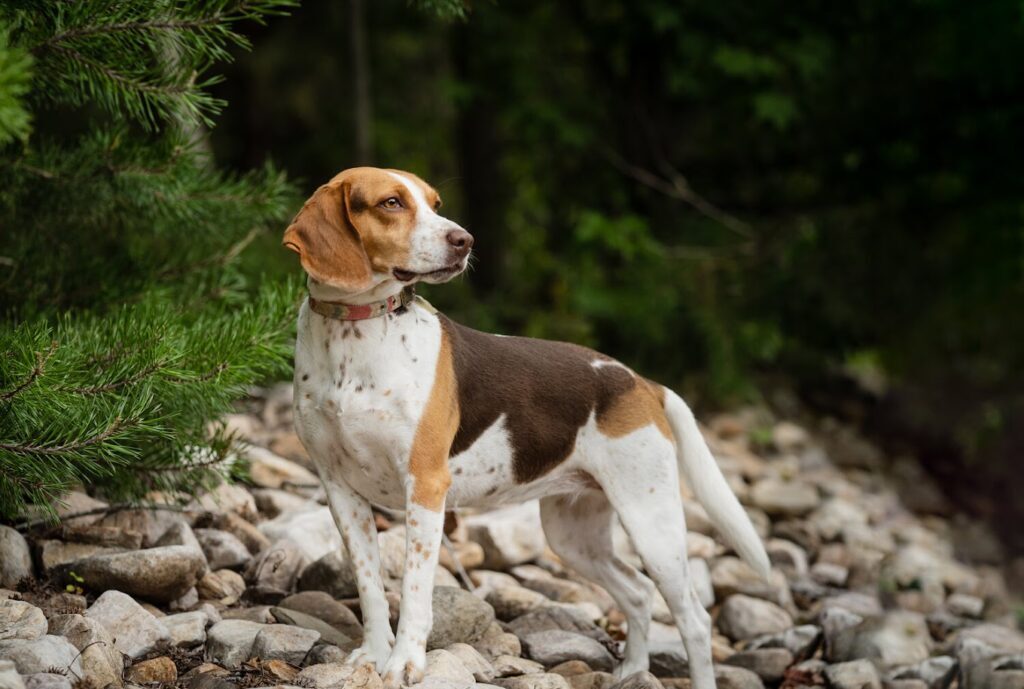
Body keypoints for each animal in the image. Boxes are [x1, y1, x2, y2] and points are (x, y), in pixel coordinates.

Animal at [284, 166, 765, 687]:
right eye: (391, 203)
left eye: (435, 203)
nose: (464, 241)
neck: (355, 331)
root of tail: (641, 381)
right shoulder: (340, 490)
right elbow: (370, 586)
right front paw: (374, 655)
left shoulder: (425, 487)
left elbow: (413, 592)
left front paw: (405, 663)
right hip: (572, 535)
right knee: (637, 592)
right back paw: (633, 672)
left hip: (652, 524)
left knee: (693, 619)